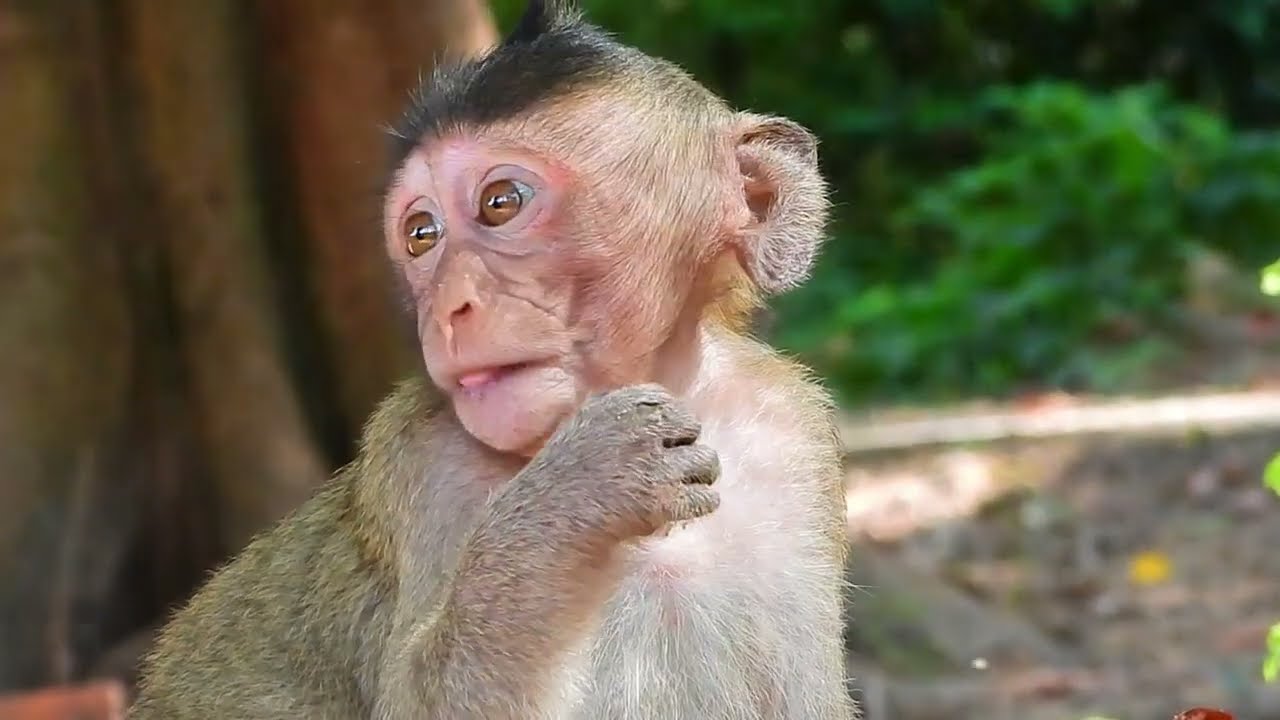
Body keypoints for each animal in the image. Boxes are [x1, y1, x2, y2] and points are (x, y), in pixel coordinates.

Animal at [128, 1, 855, 718]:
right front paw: (582, 486)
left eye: (500, 203)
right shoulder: (422, 459)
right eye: (421, 235)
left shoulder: (789, 438)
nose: (449, 306)